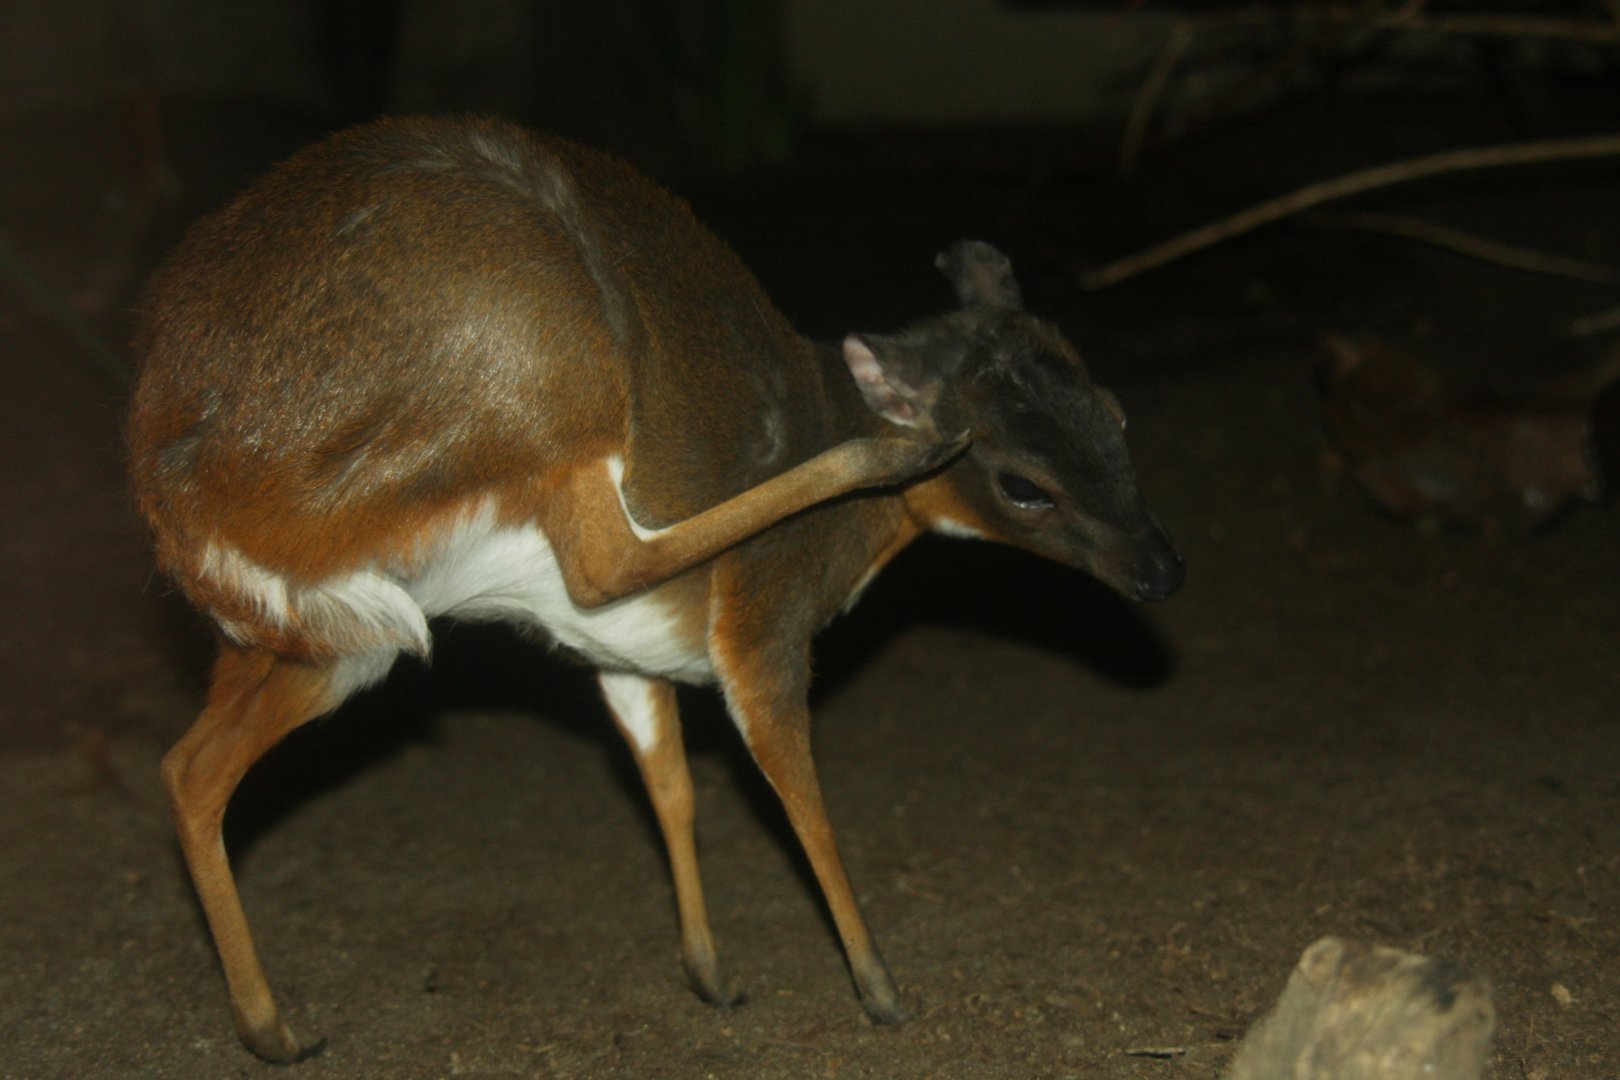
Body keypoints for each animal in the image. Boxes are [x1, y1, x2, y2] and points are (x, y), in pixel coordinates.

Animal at [128, 115, 1184, 1062]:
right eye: (1025, 486)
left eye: (1118, 414)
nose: (1161, 569)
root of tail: (177, 484)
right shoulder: (763, 625)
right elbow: (794, 786)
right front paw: (882, 989)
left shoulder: (625, 660)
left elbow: (668, 782)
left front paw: (710, 971)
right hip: (549, 369)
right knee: (605, 558)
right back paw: (891, 453)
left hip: (319, 632)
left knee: (187, 767)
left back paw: (271, 1028)